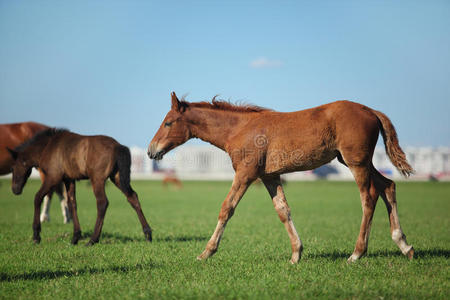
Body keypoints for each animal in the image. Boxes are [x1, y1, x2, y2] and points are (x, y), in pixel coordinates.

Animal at [7, 128, 152, 244]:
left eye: (13, 168)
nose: (15, 189)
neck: (48, 146)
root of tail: (118, 146)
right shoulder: (69, 179)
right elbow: (72, 204)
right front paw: (75, 237)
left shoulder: (53, 178)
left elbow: (37, 198)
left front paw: (36, 236)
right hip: (117, 178)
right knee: (132, 197)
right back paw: (148, 234)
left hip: (97, 180)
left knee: (102, 203)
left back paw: (93, 240)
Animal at [149, 92, 414, 264]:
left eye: (168, 122)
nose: (151, 150)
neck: (240, 129)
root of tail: (371, 110)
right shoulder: (270, 177)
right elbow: (283, 211)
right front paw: (296, 254)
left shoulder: (245, 173)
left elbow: (227, 208)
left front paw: (206, 252)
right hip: (357, 161)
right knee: (388, 186)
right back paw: (404, 245)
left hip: (356, 162)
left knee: (369, 198)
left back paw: (357, 253)